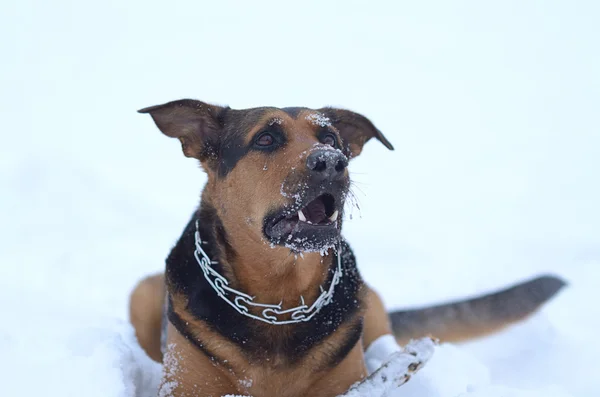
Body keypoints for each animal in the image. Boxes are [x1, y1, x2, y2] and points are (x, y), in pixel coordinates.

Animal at [129, 99, 564, 396]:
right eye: (266, 139)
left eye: (330, 138)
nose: (331, 161)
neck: (280, 298)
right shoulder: (189, 383)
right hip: (144, 291)